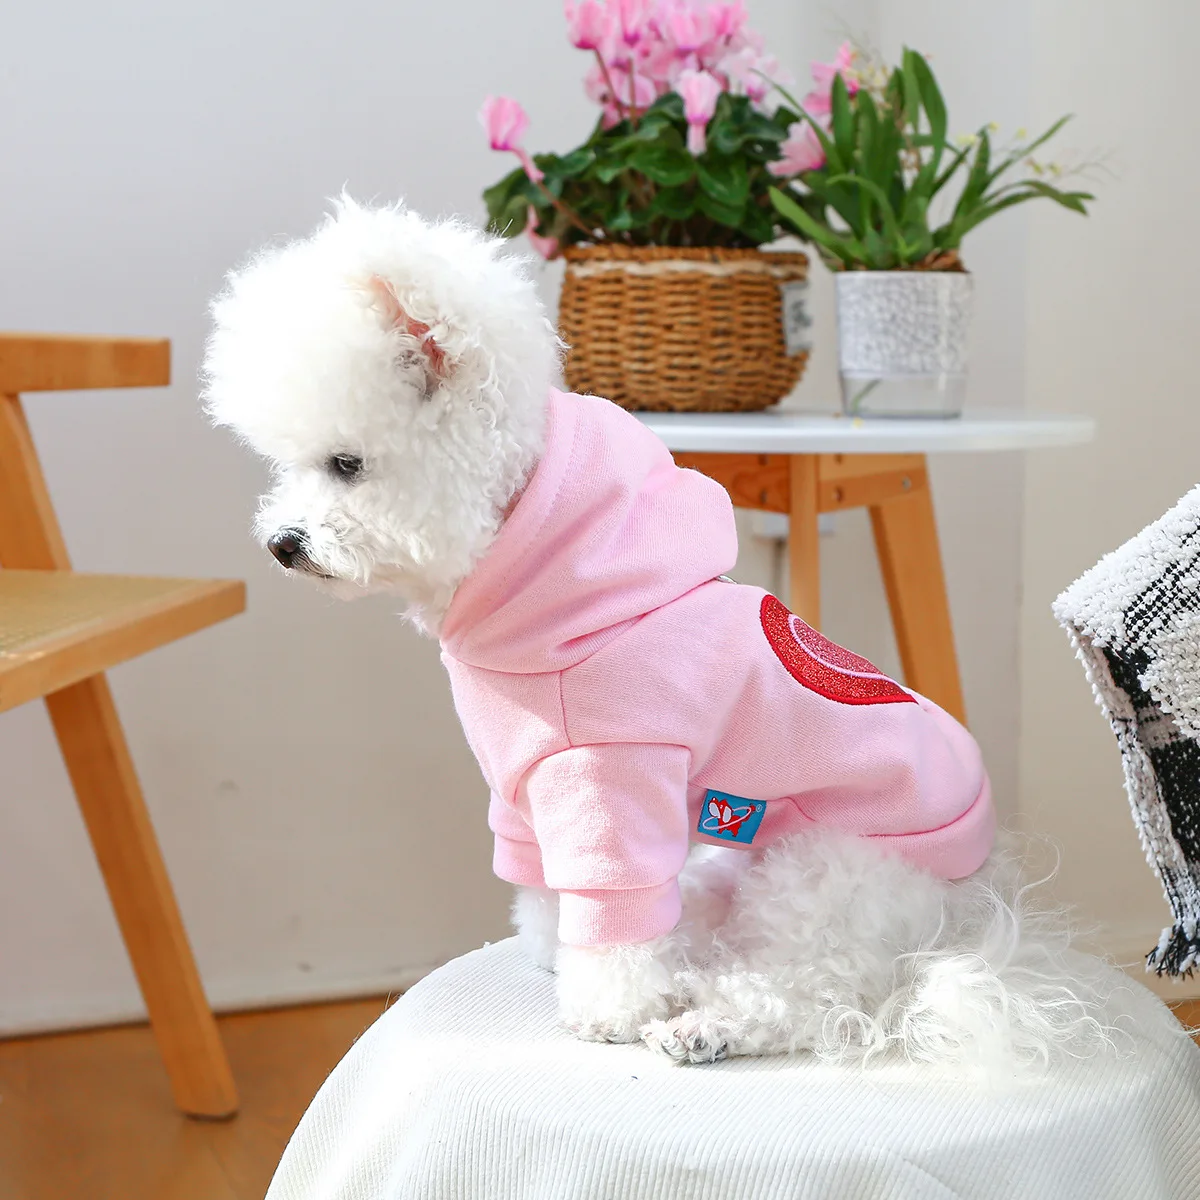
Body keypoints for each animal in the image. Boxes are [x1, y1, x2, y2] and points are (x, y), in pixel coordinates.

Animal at [204, 197, 1109, 1069]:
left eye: (346, 464)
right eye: (290, 466)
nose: (281, 543)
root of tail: (974, 910)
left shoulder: (613, 774)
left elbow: (614, 909)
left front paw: (609, 1010)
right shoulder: (523, 783)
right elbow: (543, 886)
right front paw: (552, 954)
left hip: (823, 873)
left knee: (819, 995)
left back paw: (707, 1024)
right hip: (735, 866)